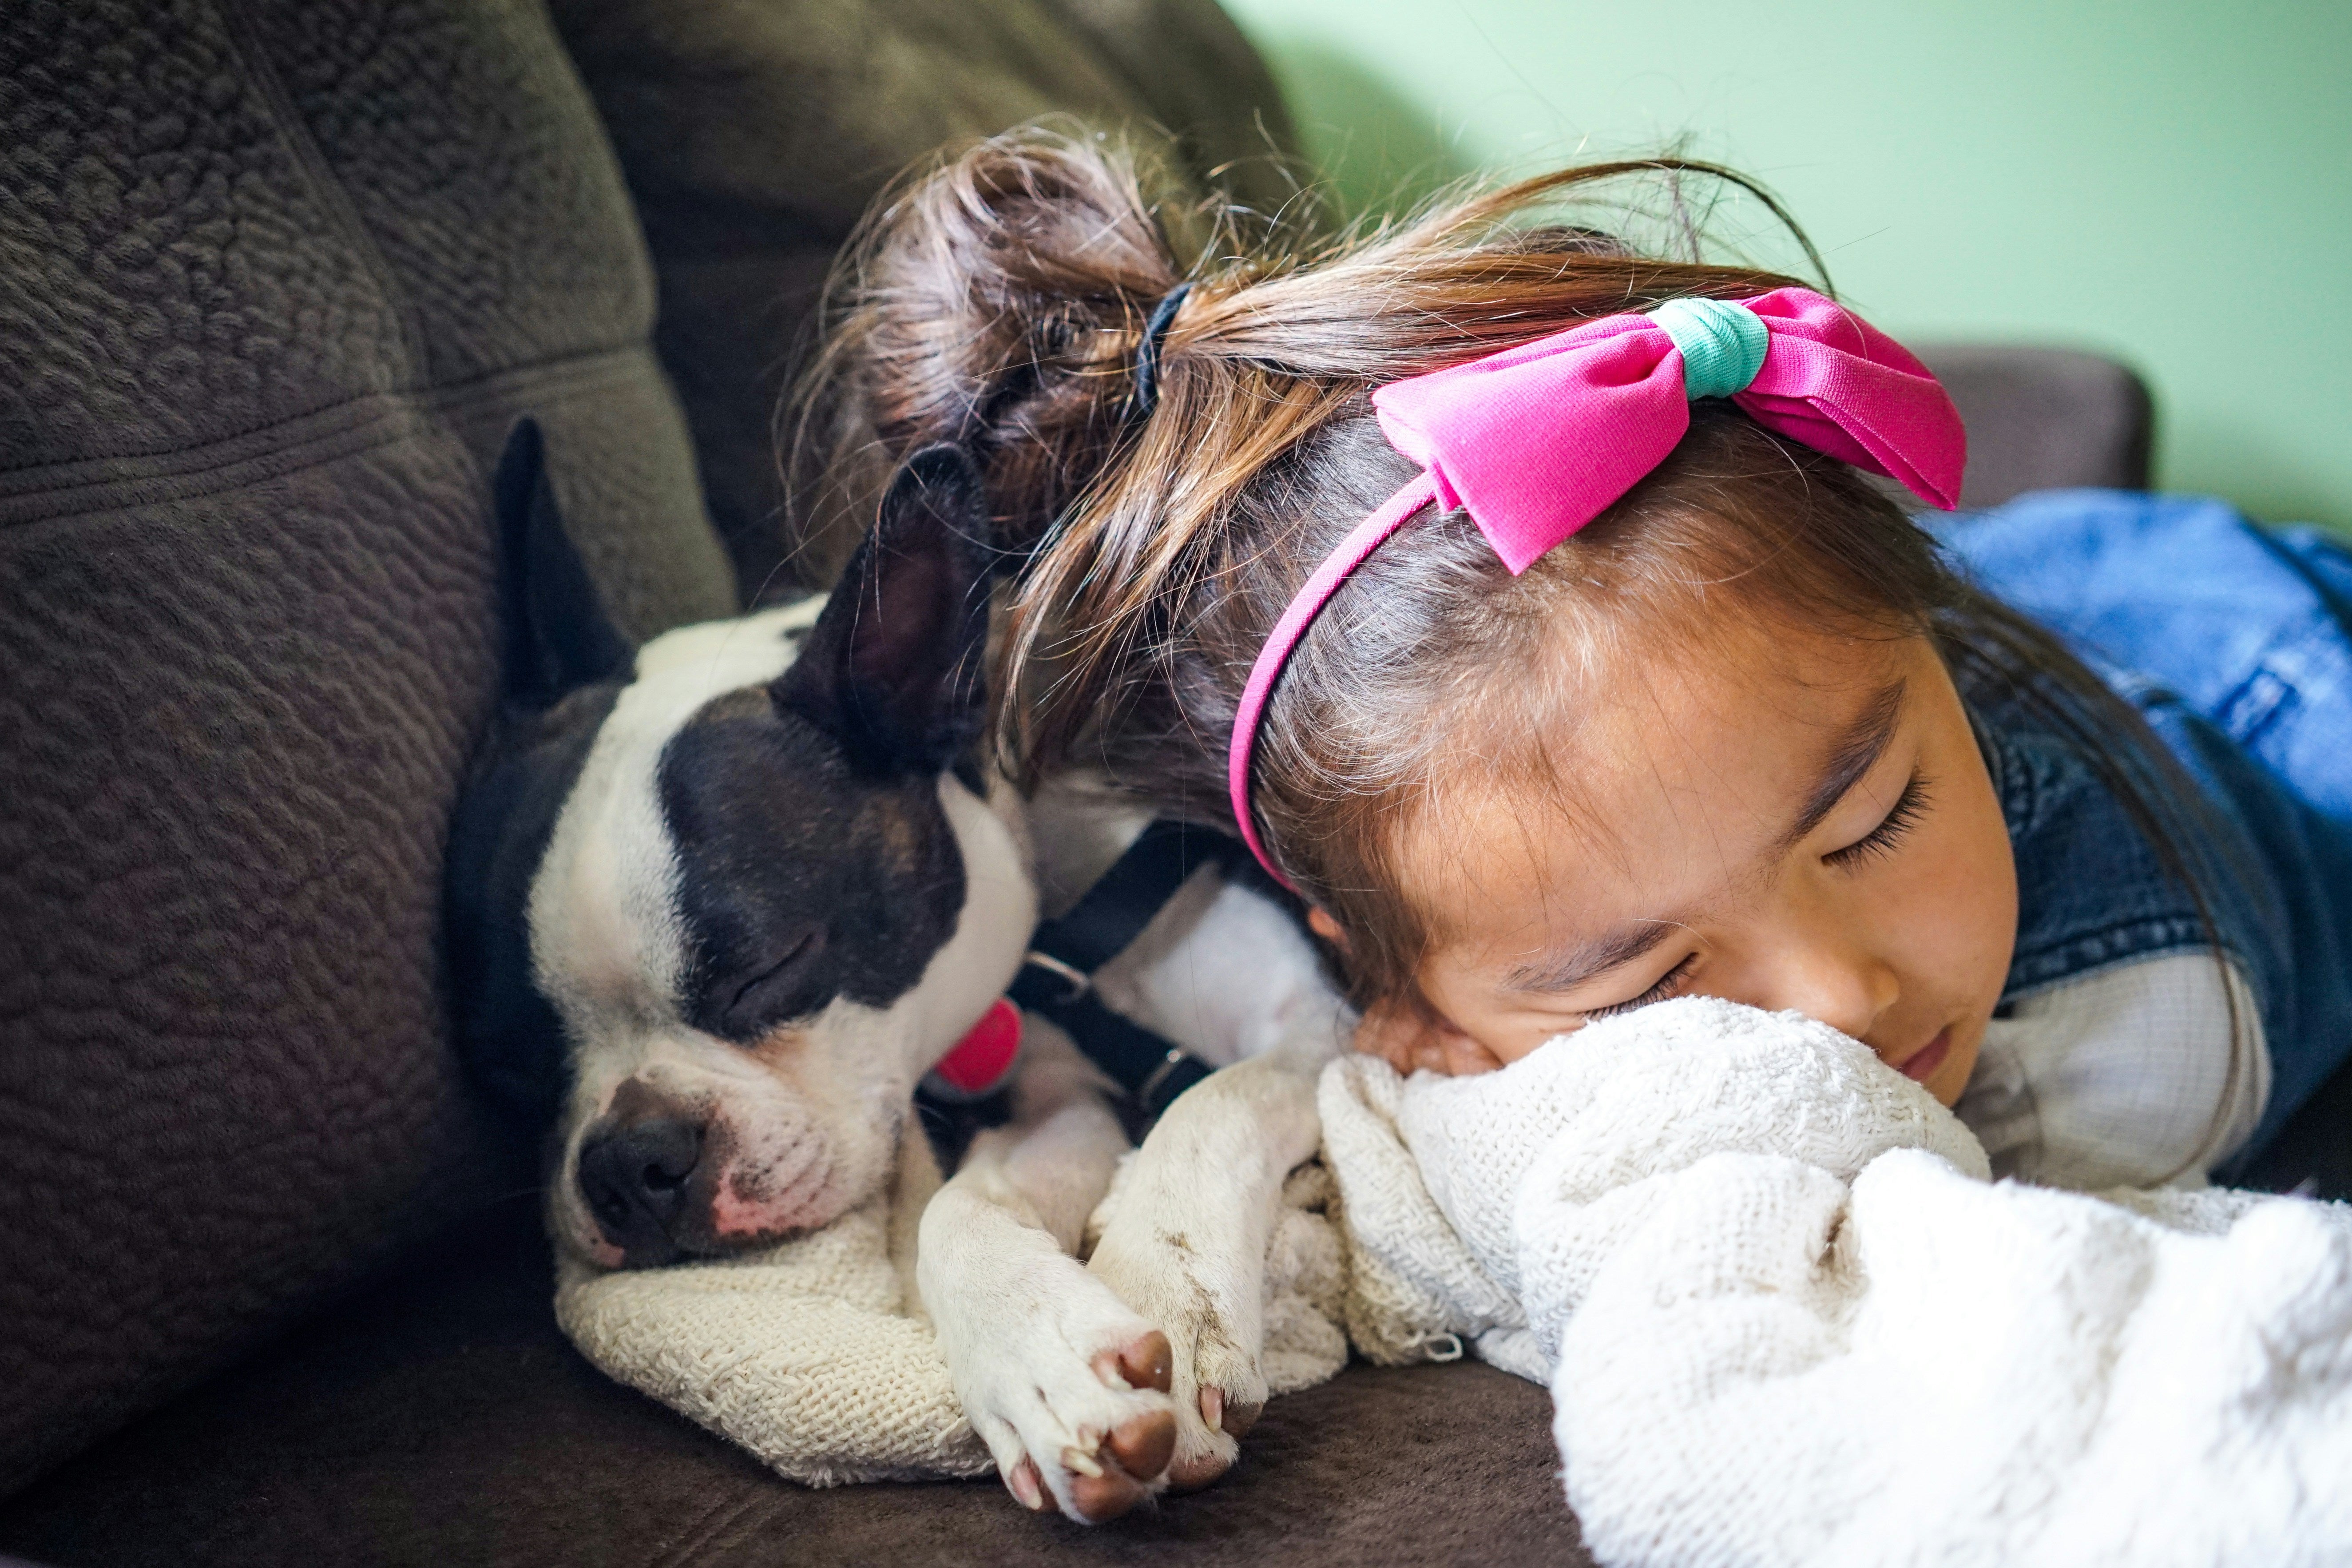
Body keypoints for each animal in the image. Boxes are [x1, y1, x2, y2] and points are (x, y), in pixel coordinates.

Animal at [449, 423, 1355, 1523]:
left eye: (766, 970)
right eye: (508, 1065)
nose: (629, 1160)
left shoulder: (1317, 1018)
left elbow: (1213, 1104)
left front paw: (1165, 1292)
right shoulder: (1053, 1090)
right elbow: (956, 1208)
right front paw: (1041, 1362)